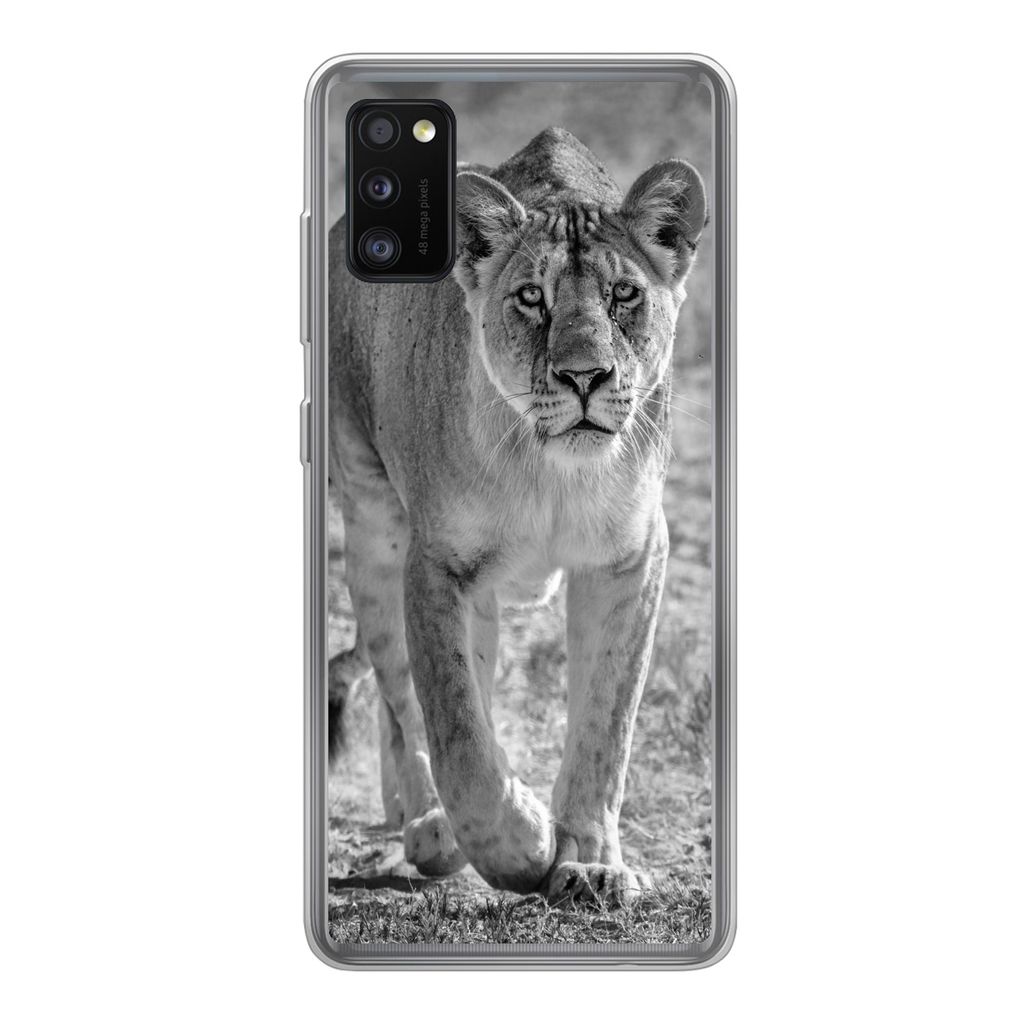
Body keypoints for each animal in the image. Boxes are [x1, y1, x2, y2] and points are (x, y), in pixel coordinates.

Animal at [327, 127, 706, 903]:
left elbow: (605, 723)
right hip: (373, 530)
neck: (554, 472)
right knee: (402, 698)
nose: (585, 376)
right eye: (532, 298)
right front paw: (524, 843)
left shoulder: (631, 557)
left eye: (625, 295)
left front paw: (590, 863)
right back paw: (427, 824)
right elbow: (458, 732)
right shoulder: (437, 564)